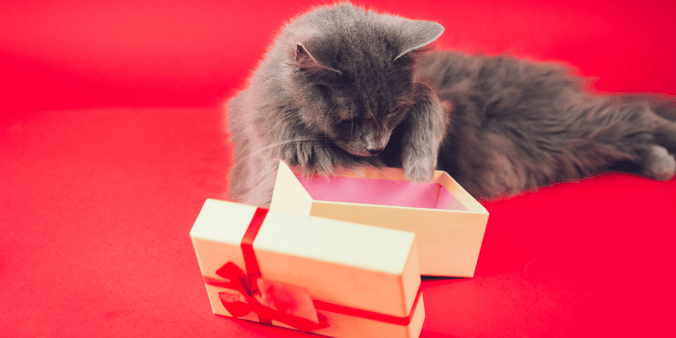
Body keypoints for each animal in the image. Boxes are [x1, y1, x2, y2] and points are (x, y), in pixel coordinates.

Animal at [227, 2, 676, 207]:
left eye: (393, 112)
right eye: (349, 119)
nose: (376, 145)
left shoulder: (433, 102)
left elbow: (430, 105)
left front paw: (419, 171)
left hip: (561, 127)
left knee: (638, 117)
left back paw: (665, 160)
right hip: (567, 142)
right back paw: (661, 164)